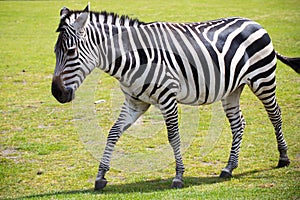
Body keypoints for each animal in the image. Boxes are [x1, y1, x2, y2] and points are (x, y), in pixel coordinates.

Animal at [52, 3, 300, 190]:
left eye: (71, 52)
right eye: (55, 52)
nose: (57, 93)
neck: (133, 58)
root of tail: (254, 22)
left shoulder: (167, 98)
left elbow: (173, 137)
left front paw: (179, 176)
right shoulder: (135, 103)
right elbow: (113, 133)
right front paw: (101, 176)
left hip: (263, 79)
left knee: (275, 115)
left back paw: (283, 158)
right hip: (232, 89)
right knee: (239, 124)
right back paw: (229, 167)